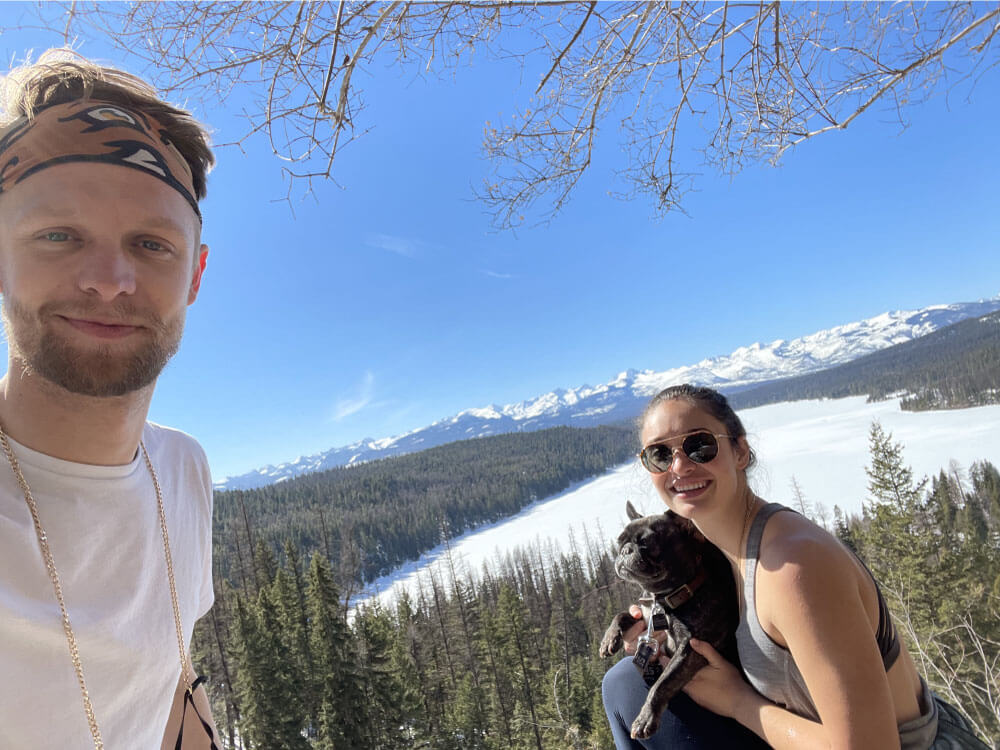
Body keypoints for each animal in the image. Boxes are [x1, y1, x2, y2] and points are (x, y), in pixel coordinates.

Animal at [596, 502, 740, 744]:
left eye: (647, 543)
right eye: (619, 542)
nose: (625, 550)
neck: (665, 598)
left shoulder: (690, 650)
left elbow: (663, 682)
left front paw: (645, 718)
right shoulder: (646, 618)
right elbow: (623, 615)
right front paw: (610, 638)